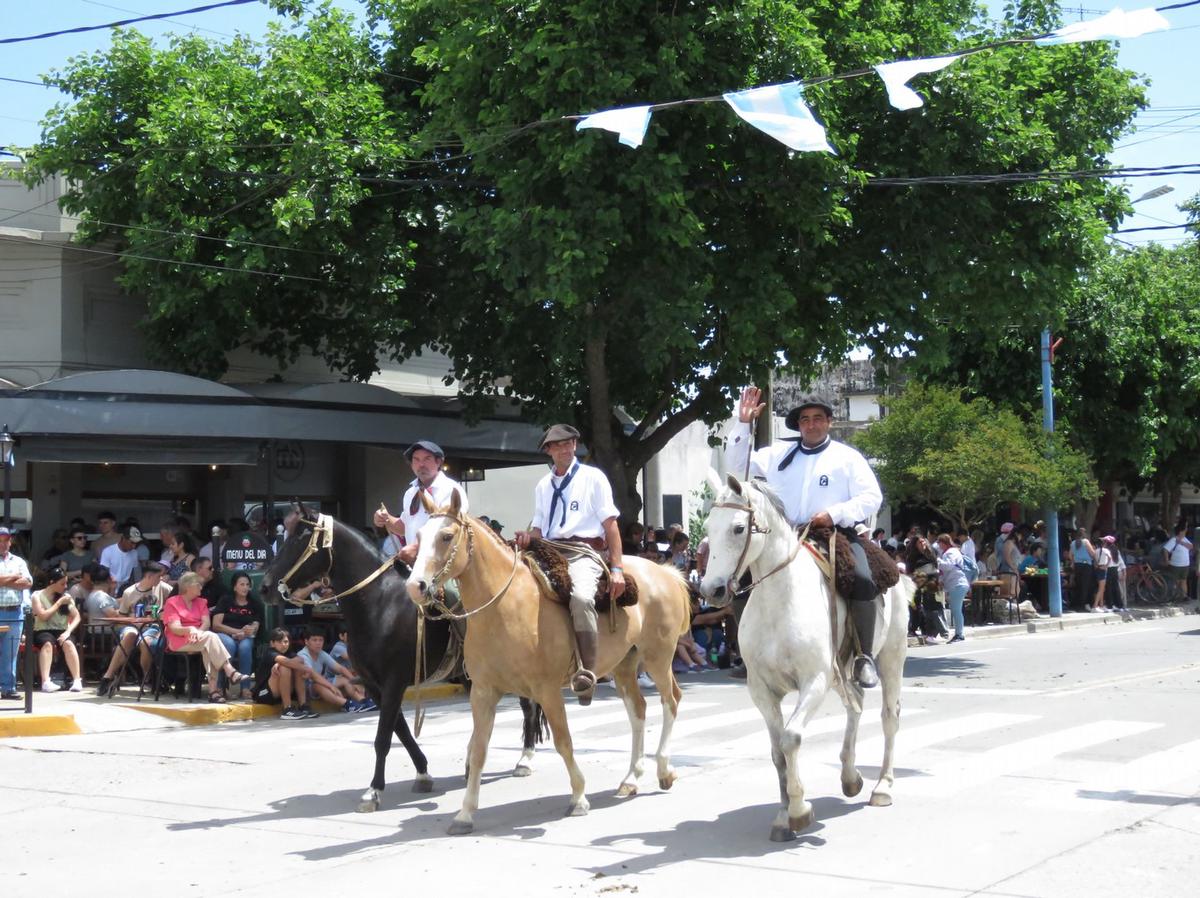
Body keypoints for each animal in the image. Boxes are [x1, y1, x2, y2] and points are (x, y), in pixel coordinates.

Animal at [408, 492, 691, 835]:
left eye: (446, 536)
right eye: (418, 536)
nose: (415, 586)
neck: (505, 605)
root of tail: (665, 572)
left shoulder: (547, 690)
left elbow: (563, 742)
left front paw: (579, 797)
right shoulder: (483, 692)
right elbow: (478, 751)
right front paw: (464, 814)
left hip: (658, 657)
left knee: (671, 700)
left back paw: (664, 770)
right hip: (625, 665)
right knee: (638, 710)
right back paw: (631, 778)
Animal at [696, 477, 907, 840]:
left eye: (738, 528)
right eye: (708, 526)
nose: (712, 590)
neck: (779, 601)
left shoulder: (815, 681)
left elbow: (791, 738)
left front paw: (799, 810)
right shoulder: (761, 690)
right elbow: (776, 750)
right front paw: (783, 816)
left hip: (891, 657)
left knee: (888, 717)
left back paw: (882, 786)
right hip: (841, 670)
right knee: (856, 705)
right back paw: (850, 777)